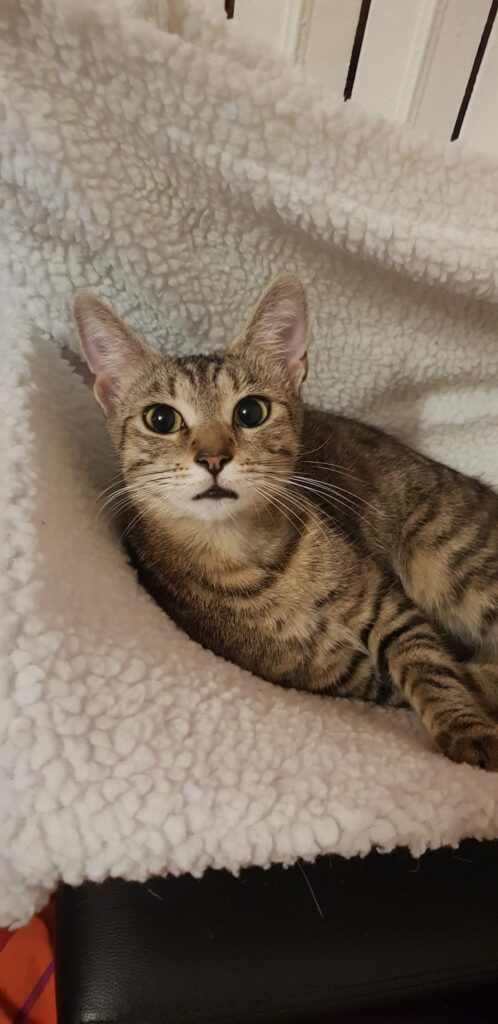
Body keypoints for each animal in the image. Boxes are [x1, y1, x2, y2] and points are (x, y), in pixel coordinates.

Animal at [73, 275, 498, 771]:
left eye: (250, 411)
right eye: (161, 418)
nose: (213, 457)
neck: (254, 553)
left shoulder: (388, 606)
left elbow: (431, 666)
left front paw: (465, 728)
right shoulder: (341, 674)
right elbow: (454, 672)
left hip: (441, 559)